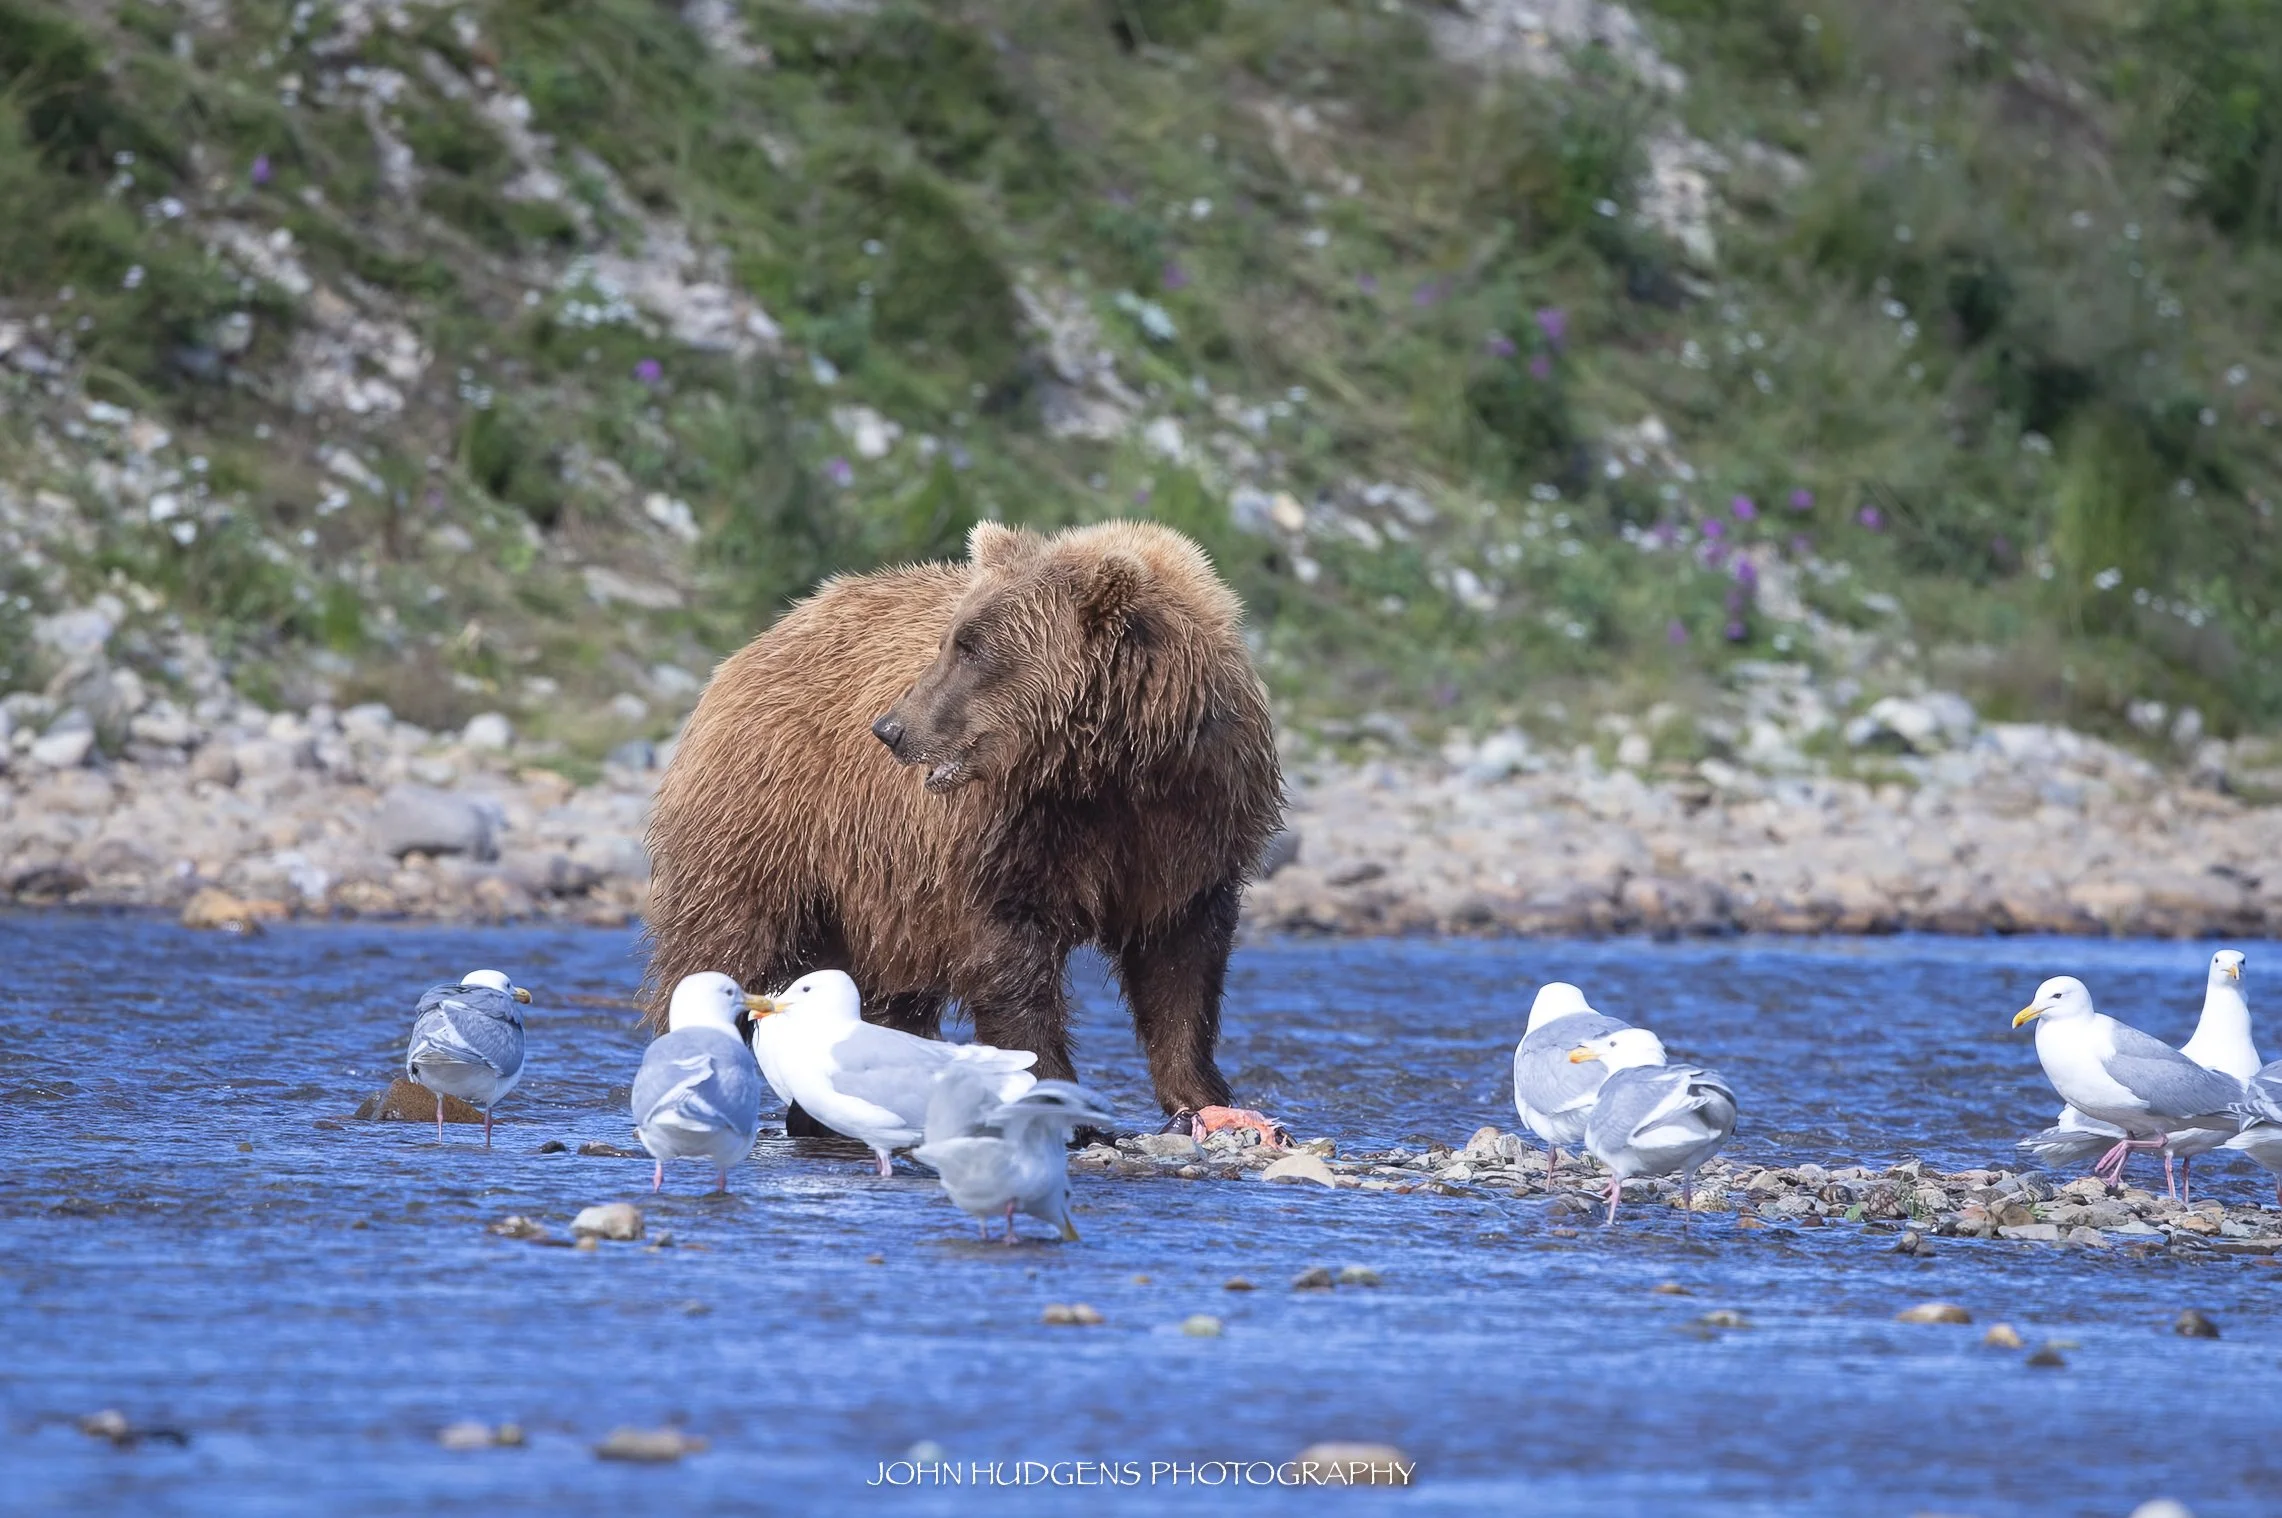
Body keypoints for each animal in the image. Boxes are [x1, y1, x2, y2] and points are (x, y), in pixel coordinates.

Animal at [640, 518, 1285, 1132]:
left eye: (972, 648)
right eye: (951, 640)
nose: (890, 729)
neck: (1104, 770)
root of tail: (768, 633)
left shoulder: (1189, 825)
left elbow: (1181, 962)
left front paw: (1201, 1094)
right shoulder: (1007, 836)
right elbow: (1009, 959)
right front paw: (1059, 1096)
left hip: (874, 893)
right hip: (771, 817)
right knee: (725, 935)